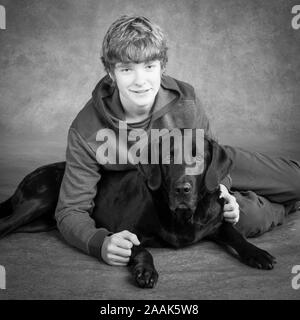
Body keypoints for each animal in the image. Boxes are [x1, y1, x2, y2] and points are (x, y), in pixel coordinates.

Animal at [0, 131, 276, 288]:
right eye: (168, 157)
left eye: (199, 158)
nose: (182, 189)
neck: (183, 216)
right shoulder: (125, 230)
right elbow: (141, 249)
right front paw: (146, 271)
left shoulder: (216, 225)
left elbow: (236, 235)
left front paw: (258, 253)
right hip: (40, 200)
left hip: (40, 221)